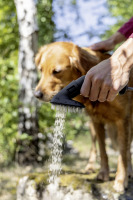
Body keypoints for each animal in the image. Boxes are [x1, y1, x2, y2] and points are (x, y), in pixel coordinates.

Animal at [34, 41, 133, 192]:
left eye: (57, 71)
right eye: (41, 70)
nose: (37, 94)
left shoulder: (123, 120)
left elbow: (123, 153)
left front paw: (121, 181)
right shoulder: (97, 120)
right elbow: (103, 151)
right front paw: (103, 173)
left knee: (127, 149)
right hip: (92, 125)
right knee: (94, 146)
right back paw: (90, 167)